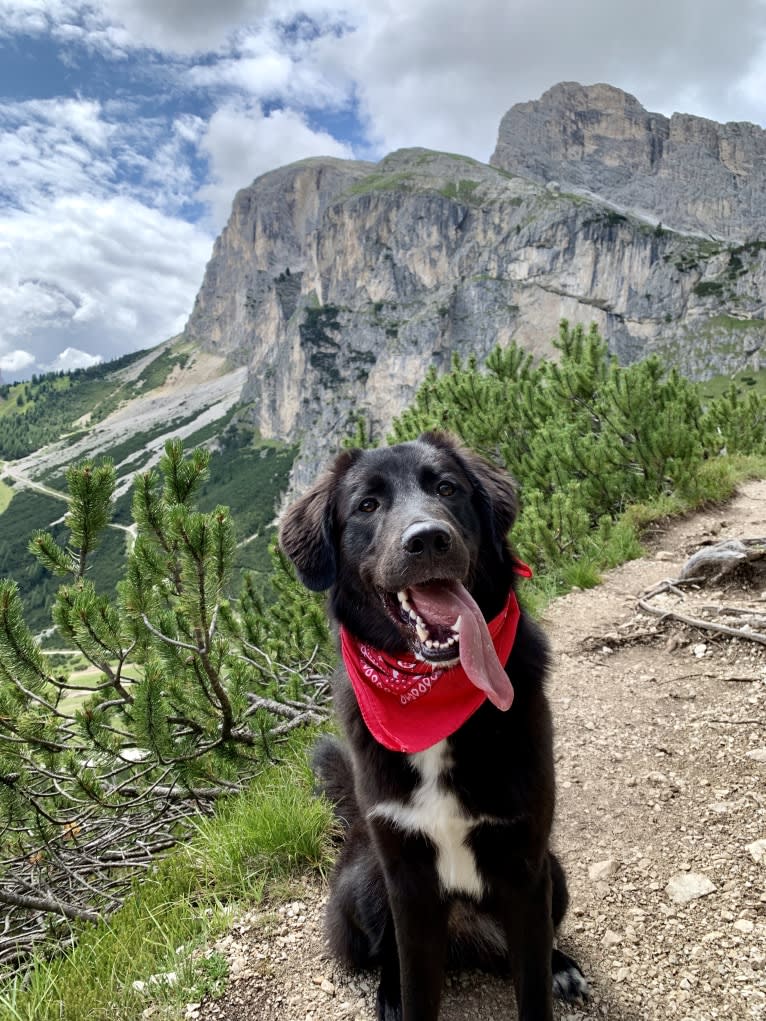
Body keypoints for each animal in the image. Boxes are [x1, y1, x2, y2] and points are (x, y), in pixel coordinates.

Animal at [279, 432, 588, 1021]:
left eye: (447, 488)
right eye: (367, 505)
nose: (427, 540)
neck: (431, 703)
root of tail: (464, 940)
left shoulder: (525, 865)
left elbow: (532, 984)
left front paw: (551, 973)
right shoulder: (407, 880)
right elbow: (416, 980)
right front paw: (404, 996)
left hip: (556, 872)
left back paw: (562, 964)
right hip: (366, 880)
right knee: (387, 955)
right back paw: (389, 994)